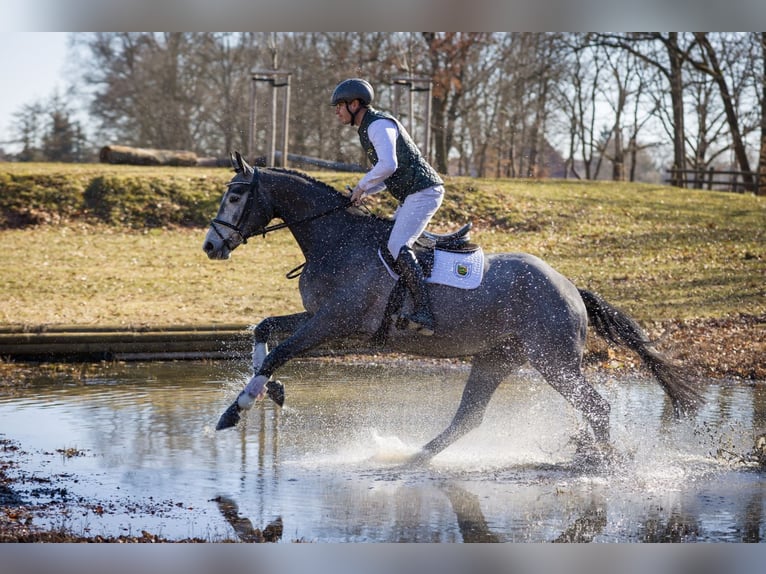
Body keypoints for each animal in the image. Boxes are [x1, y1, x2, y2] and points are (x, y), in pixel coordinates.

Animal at [203, 152, 702, 464]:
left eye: (235, 196)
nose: (211, 246)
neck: (335, 240)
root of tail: (570, 288)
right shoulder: (321, 320)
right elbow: (264, 330)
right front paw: (269, 391)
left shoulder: (334, 323)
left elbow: (281, 351)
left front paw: (238, 408)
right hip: (497, 358)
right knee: (470, 417)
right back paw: (412, 457)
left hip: (552, 360)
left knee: (596, 407)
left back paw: (597, 460)